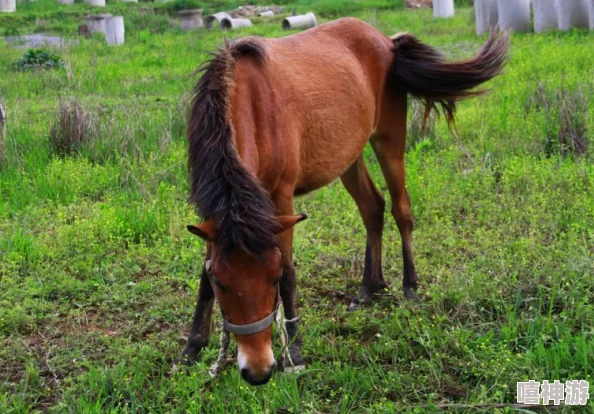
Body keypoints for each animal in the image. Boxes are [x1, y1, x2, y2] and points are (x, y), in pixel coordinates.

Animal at [179, 17, 504, 384]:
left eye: (272, 279)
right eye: (222, 283)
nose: (258, 370)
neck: (249, 104)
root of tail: (386, 41)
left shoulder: (281, 198)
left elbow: (290, 269)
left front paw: (295, 350)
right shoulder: (215, 216)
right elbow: (203, 272)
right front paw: (192, 347)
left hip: (389, 142)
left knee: (401, 210)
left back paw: (410, 287)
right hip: (349, 158)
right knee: (373, 209)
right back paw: (369, 288)